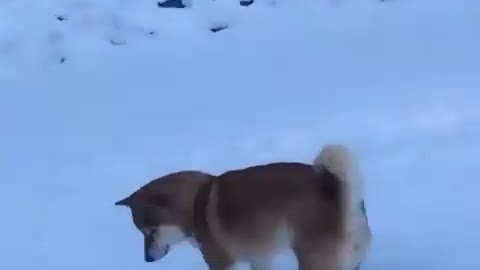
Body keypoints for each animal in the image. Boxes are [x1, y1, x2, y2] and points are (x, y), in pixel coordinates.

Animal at [114, 144, 374, 268]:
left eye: (150, 232)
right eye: (141, 232)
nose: (147, 260)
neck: (195, 202)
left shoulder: (220, 262)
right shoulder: (260, 258)